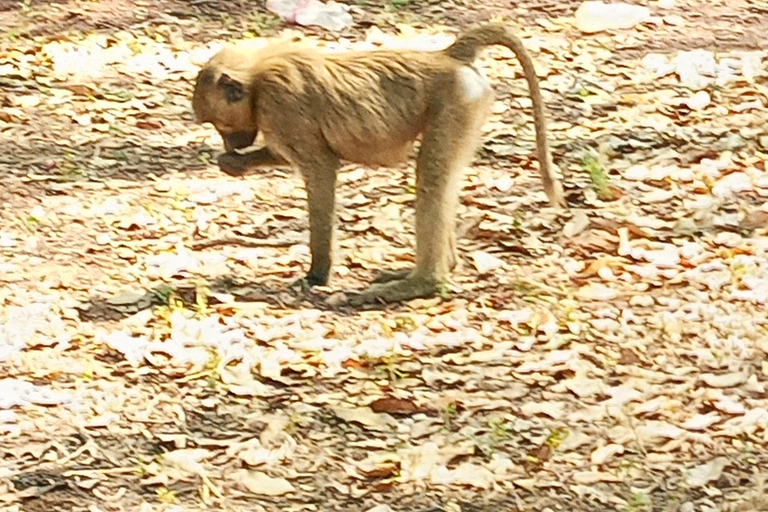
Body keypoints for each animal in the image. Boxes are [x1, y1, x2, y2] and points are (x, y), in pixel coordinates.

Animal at [190, 23, 564, 304]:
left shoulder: (281, 106)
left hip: (457, 103)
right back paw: (440, 267)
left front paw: (317, 274)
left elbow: (321, 169)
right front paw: (233, 163)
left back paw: (422, 283)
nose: (229, 143)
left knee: (432, 177)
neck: (258, 76)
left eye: (219, 125)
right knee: (444, 180)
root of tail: (448, 57)